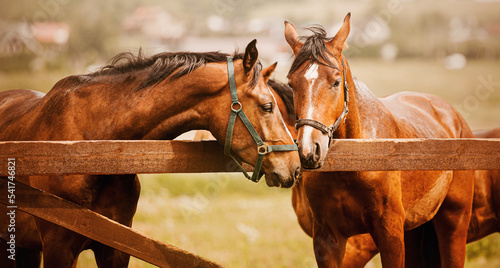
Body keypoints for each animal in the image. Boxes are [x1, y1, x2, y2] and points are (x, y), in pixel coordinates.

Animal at [288, 13, 474, 266]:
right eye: (291, 84)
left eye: (335, 82)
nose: (309, 149)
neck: (355, 162)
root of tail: (454, 117)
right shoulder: (327, 240)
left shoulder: (389, 235)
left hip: (455, 221)